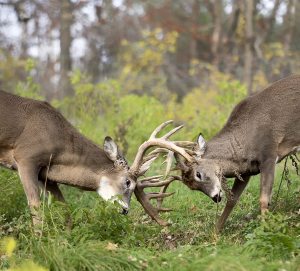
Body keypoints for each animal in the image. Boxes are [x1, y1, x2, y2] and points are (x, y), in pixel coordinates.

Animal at [0, 90, 192, 226]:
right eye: (128, 181)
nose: (125, 209)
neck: (56, 140)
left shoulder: (47, 174)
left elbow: (65, 208)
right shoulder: (26, 158)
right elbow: (36, 206)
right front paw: (39, 244)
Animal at [172, 74, 300, 232]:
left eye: (198, 174)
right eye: (191, 187)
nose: (216, 197)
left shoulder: (269, 154)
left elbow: (264, 199)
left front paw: (264, 229)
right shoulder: (246, 171)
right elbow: (232, 200)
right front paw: (215, 233)